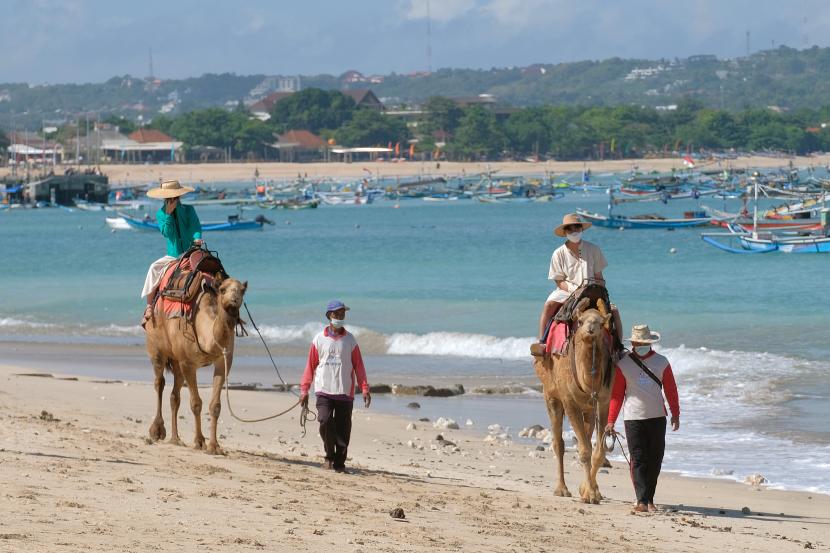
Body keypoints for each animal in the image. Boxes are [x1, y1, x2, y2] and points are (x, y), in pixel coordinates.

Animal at [145, 274, 247, 452]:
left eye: (242, 290)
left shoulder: (224, 361)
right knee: (159, 382)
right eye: (222, 290)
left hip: (176, 361)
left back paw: (176, 438)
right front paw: (199, 441)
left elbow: (215, 405)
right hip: (156, 347)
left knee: (174, 395)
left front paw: (214, 446)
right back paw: (157, 431)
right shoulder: (188, 363)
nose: (234, 300)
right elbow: (196, 403)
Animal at [532, 298, 616, 504]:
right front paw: (590, 495)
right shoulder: (569, 401)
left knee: (585, 437)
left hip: (588, 409)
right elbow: (584, 450)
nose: (590, 330)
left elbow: (597, 450)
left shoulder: (602, 401)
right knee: (558, 443)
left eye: (601, 323)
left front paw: (589, 491)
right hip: (551, 396)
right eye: (581, 321)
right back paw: (561, 489)